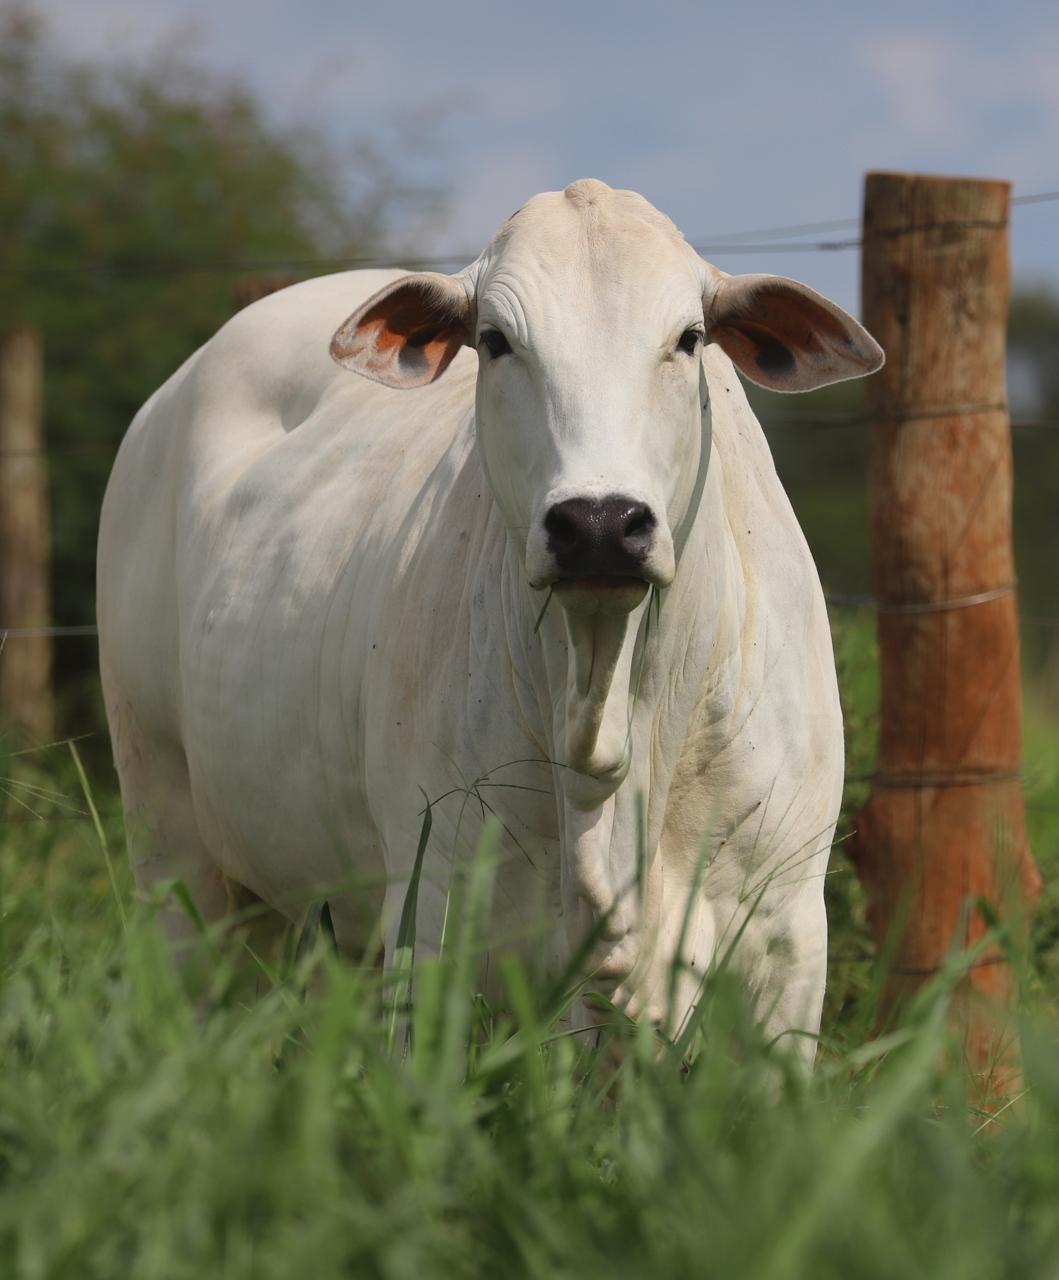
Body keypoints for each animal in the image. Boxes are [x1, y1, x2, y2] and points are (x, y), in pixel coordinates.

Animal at [99, 180, 881, 1054]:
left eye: (689, 339)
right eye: (497, 340)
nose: (599, 523)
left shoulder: (784, 942)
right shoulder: (433, 918)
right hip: (168, 838)